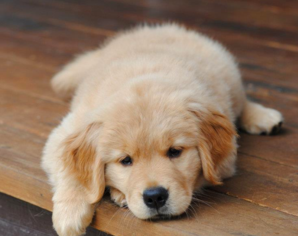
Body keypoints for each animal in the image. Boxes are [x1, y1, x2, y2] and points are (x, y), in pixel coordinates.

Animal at [40, 23, 282, 236]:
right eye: (125, 160)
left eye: (175, 152)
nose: (155, 197)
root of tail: (162, 27)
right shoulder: (66, 132)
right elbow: (73, 173)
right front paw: (70, 213)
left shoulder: (225, 160)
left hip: (229, 76)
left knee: (242, 103)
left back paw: (264, 117)